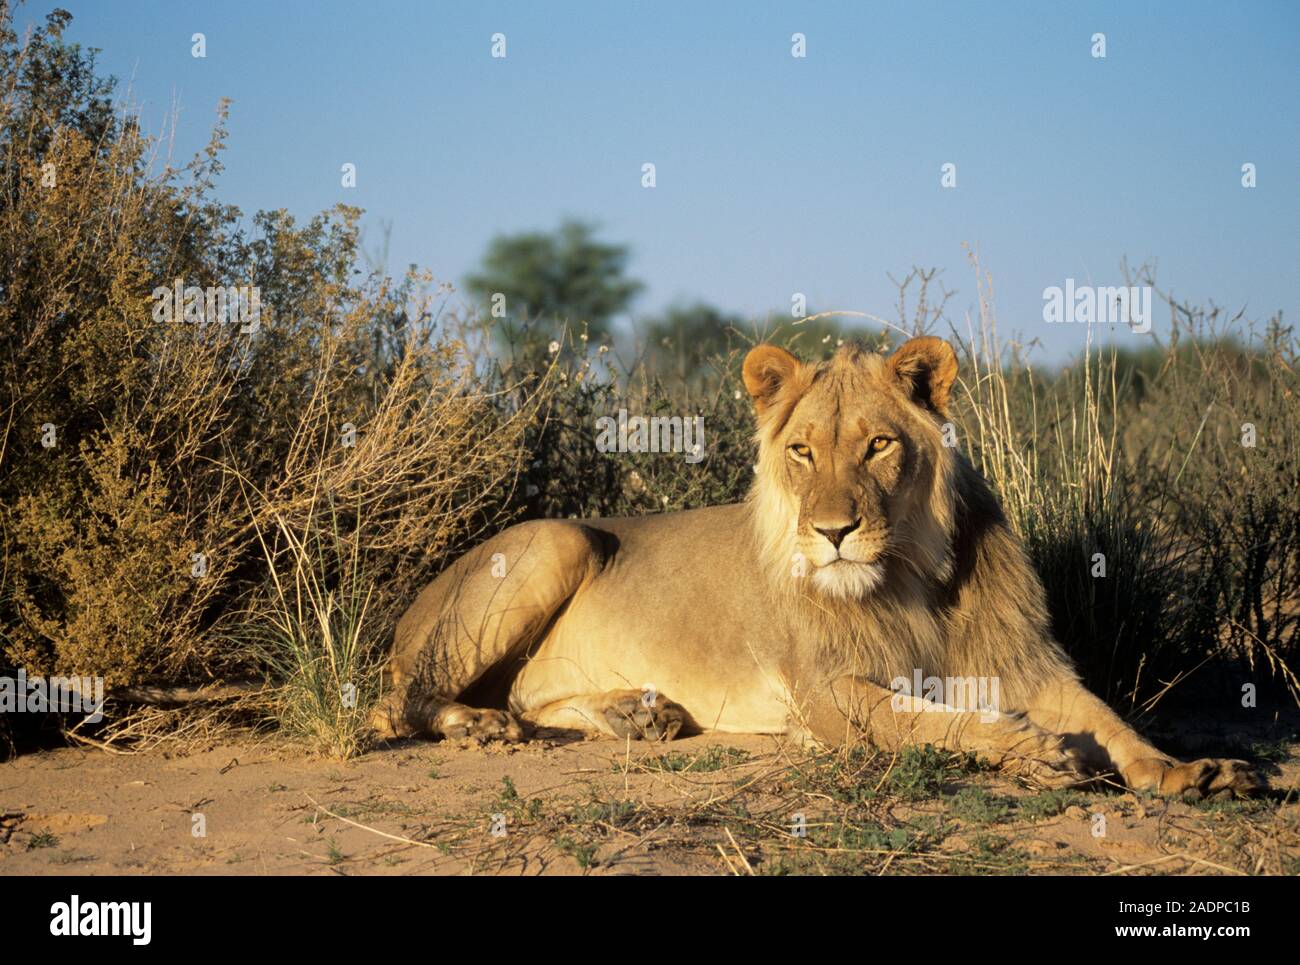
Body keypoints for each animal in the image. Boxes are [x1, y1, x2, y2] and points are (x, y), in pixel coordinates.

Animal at [372, 336, 1263, 796]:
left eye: (878, 445)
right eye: (802, 451)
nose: (834, 531)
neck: (911, 574)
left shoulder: (1021, 659)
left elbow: (1111, 719)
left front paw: (1193, 771)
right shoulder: (828, 694)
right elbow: (925, 720)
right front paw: (1033, 749)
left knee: (526, 694)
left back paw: (637, 714)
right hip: (558, 539)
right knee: (399, 703)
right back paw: (482, 726)